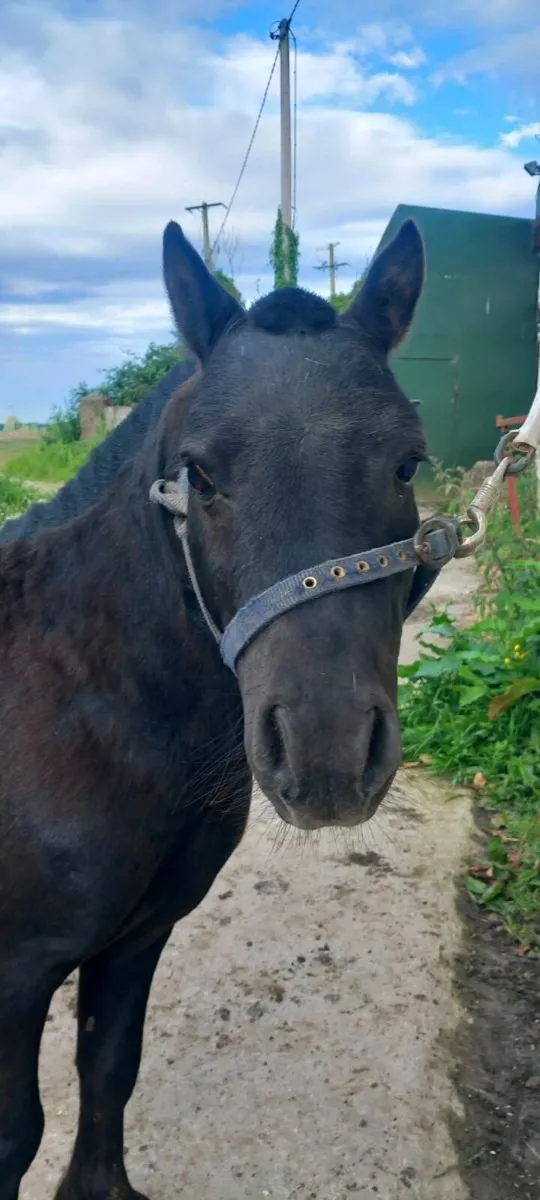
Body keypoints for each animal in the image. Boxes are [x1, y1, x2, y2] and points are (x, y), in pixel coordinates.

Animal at [0, 215, 434, 1200]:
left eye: (407, 463)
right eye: (198, 473)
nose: (325, 753)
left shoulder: (138, 935)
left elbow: (108, 1067)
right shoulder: (11, 974)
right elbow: (12, 1133)